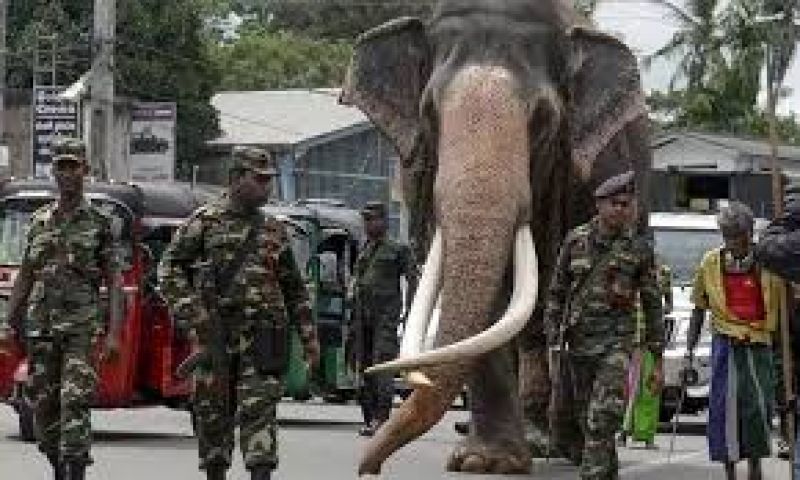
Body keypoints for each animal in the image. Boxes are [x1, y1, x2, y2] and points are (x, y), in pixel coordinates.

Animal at [340, 0, 653, 475]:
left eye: (542, 118)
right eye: (429, 111)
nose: (368, 468)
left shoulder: (580, 179)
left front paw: (491, 460)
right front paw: (485, 462)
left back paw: (568, 446)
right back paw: (542, 443)